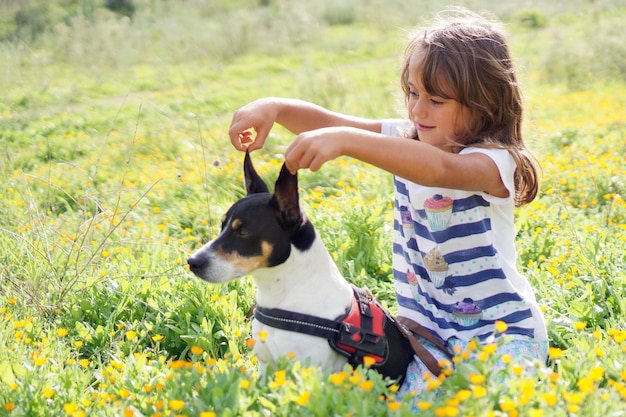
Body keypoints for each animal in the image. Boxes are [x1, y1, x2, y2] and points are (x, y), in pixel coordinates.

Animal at [188, 152, 442, 380]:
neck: (283, 294)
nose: (192, 262)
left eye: (242, 232)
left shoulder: (309, 375)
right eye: (222, 226)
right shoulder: (265, 368)